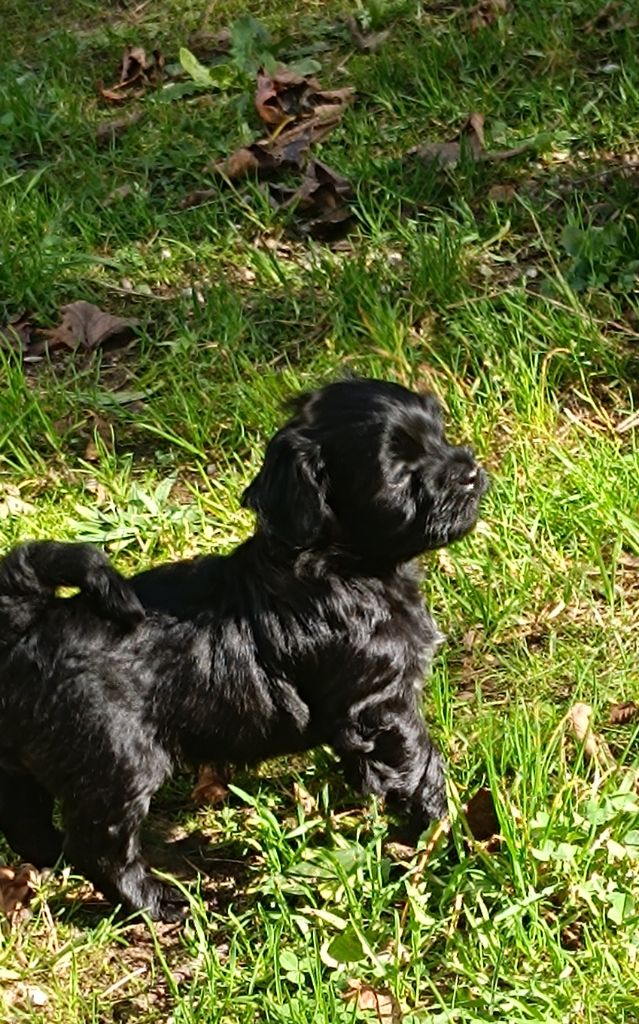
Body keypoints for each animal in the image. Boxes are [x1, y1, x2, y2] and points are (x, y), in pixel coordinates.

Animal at [0, 378, 487, 920]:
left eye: (440, 435)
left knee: (24, 818)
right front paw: (445, 835)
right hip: (114, 762)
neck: (341, 563)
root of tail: (27, 618)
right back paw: (158, 902)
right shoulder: (383, 707)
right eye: (399, 469)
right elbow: (421, 768)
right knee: (100, 846)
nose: (470, 472)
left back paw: (54, 859)